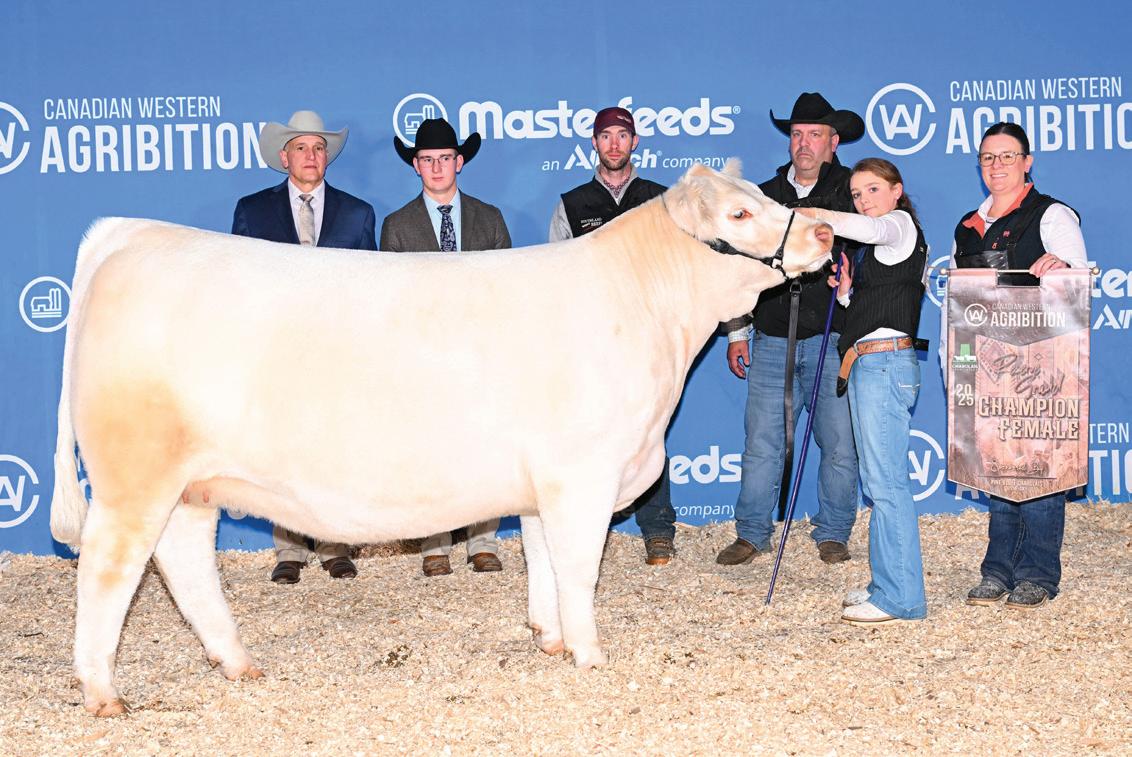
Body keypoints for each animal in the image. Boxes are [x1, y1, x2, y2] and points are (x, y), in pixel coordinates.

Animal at [49, 161, 832, 716]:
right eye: (739, 212)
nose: (825, 234)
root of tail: (132, 234)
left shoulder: (543, 481)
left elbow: (544, 563)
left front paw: (549, 638)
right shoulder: (582, 473)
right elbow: (579, 568)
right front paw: (589, 654)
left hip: (191, 483)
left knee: (183, 562)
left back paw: (236, 662)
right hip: (135, 475)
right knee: (109, 570)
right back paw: (102, 692)